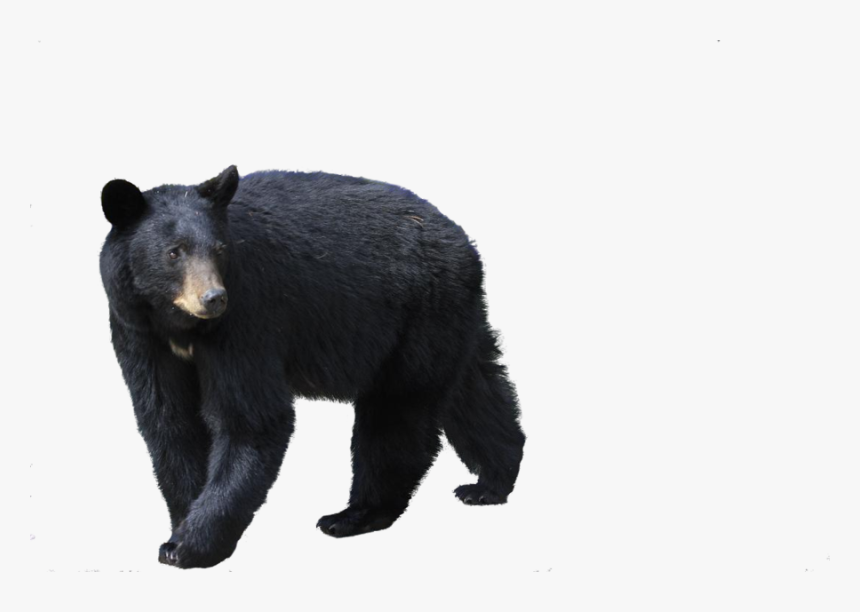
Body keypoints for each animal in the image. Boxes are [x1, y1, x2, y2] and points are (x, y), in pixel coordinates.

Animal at [100, 166, 525, 569]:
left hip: (417, 316)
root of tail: (464, 242)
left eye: (219, 249)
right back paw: (491, 482)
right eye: (174, 252)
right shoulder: (138, 331)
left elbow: (250, 420)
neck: (181, 326)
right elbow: (169, 420)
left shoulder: (247, 317)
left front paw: (191, 545)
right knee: (475, 390)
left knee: (396, 414)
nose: (213, 298)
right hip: (452, 317)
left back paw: (354, 515)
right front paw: (180, 526)